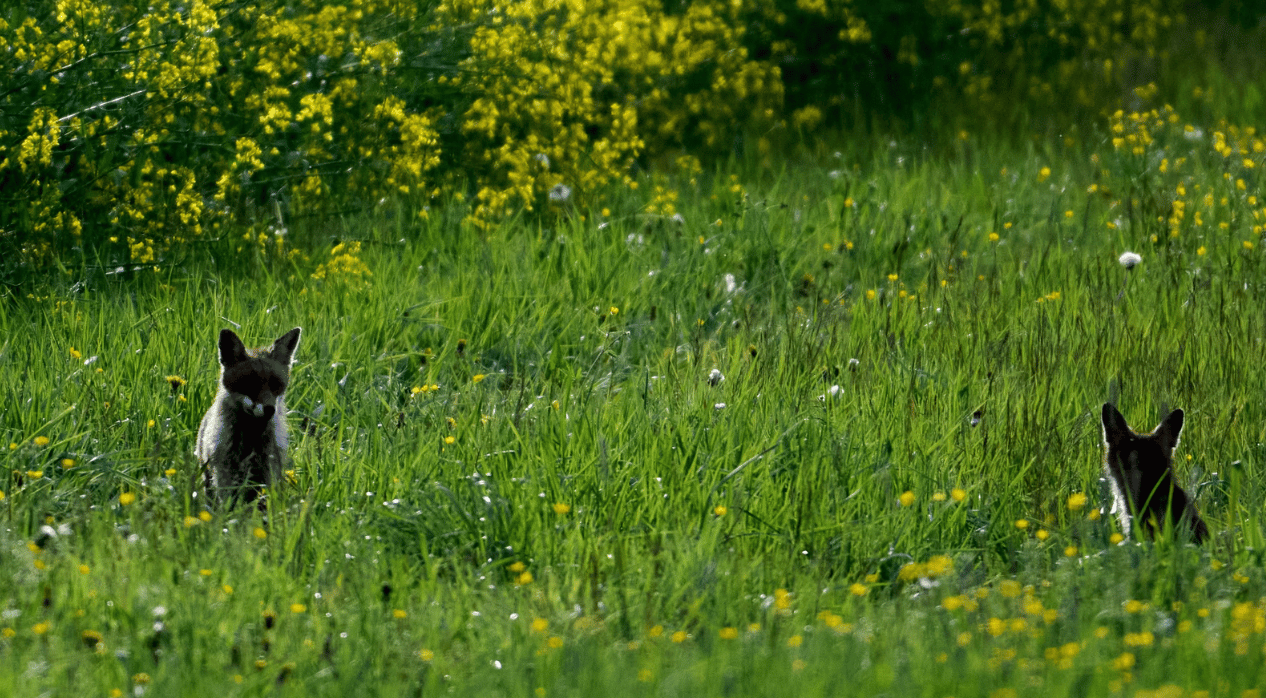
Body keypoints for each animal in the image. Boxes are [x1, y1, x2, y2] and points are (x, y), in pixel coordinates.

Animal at [197, 327, 302, 507]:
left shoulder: (267, 475)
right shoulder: (225, 476)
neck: (250, 440)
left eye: (276, 385)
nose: (270, 409)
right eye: (250, 384)